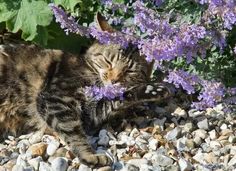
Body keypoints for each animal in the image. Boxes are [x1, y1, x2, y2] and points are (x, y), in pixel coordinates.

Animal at [0, 14, 171, 168]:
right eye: (108, 61)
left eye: (130, 71)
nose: (114, 80)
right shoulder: (54, 99)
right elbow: (73, 132)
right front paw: (90, 156)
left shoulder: (89, 113)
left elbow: (117, 99)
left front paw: (152, 89)